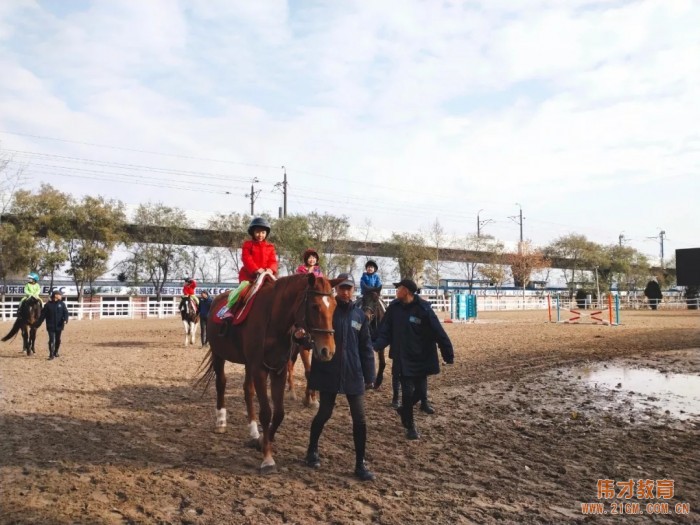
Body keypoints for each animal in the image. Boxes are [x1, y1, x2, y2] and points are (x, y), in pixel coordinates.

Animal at [198, 272, 340, 472]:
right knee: (221, 383)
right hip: (219, 354)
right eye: (314, 306)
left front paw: (262, 441)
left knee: (247, 390)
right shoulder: (259, 369)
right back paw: (221, 421)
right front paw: (267, 458)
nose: (328, 350)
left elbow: (279, 413)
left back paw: (253, 430)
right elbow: (266, 412)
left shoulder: (278, 370)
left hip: (248, 364)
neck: (274, 321)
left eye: (334, 306)